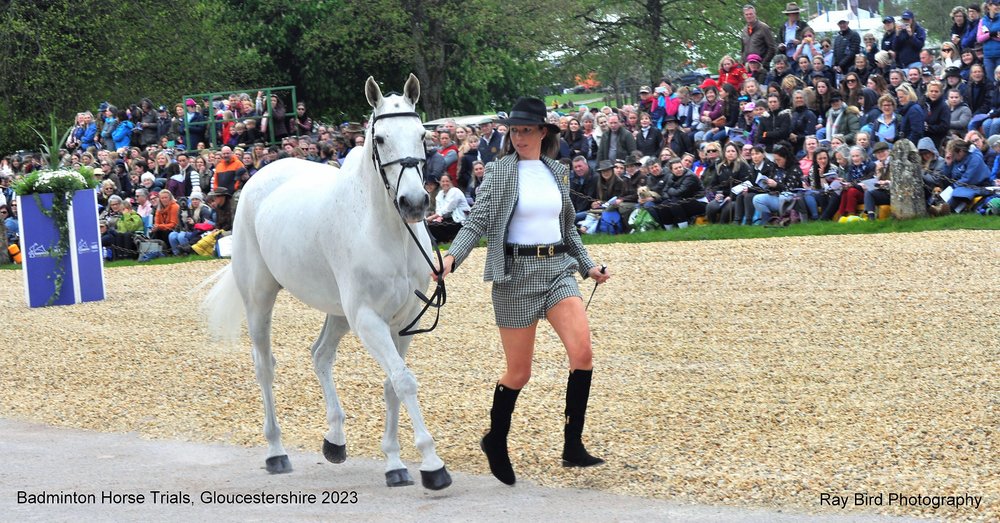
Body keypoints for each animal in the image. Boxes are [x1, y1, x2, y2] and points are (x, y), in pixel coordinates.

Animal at [200, 74, 451, 490]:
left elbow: (392, 384)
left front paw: (395, 463)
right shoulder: (368, 318)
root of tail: (260, 174)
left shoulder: (403, 320)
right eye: (381, 139)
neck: (384, 231)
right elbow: (403, 382)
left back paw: (334, 441)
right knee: (264, 366)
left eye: (421, 135)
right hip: (260, 300)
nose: (415, 203)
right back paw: (276, 452)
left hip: (339, 314)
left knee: (320, 355)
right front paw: (432, 466)